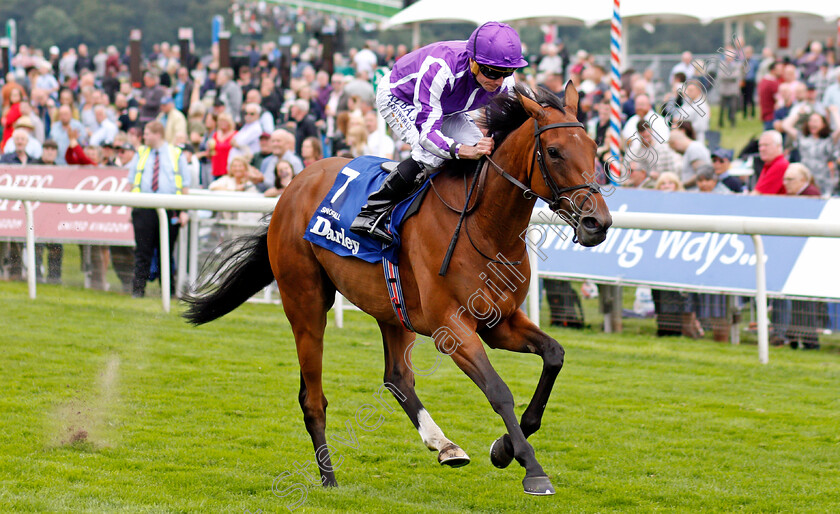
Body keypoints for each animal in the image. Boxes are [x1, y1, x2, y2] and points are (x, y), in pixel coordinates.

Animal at [184, 82, 612, 494]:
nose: (598, 223)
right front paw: (531, 468)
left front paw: (504, 448)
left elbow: (554, 355)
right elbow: (498, 389)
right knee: (313, 398)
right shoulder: (452, 329)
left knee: (397, 377)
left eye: (594, 149)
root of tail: (294, 184)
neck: (486, 226)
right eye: (554, 151)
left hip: (391, 306)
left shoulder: (499, 322)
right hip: (305, 302)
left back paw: (444, 445)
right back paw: (328, 479)